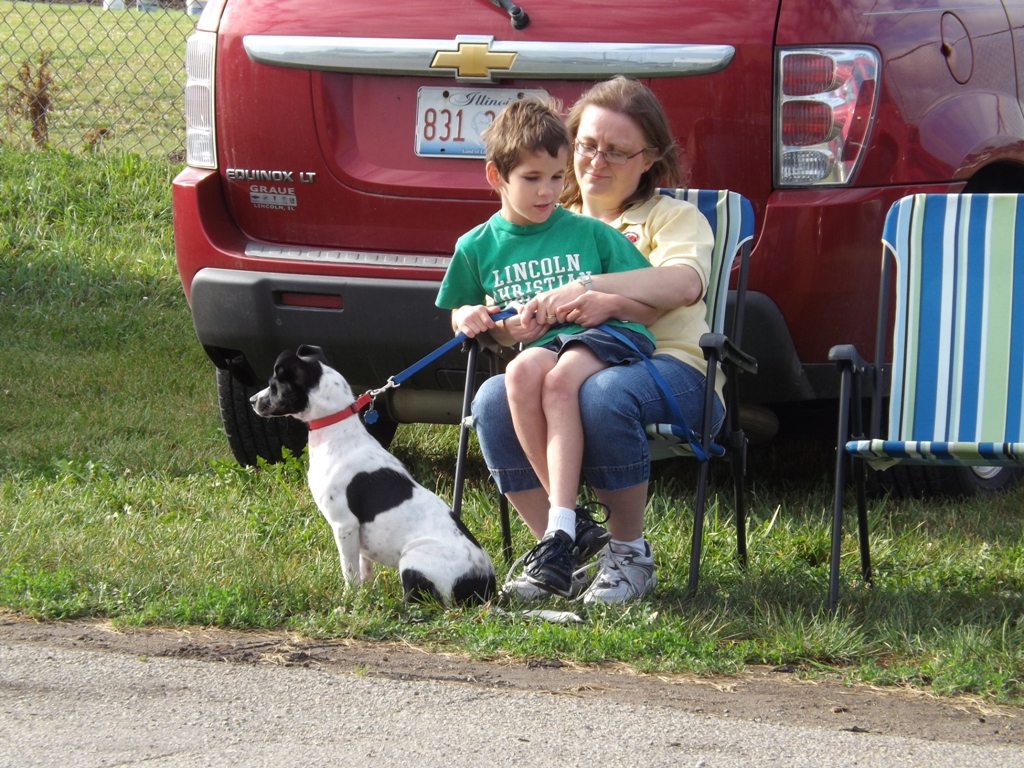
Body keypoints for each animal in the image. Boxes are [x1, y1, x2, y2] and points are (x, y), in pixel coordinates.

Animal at [251, 345, 495, 605]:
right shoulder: (357, 534)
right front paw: (365, 596)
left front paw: (348, 601)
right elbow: (363, 568)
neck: (337, 433)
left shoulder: (344, 525)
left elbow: (349, 570)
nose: (251, 400)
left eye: (274, 384)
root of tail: (483, 587)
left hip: (412, 560)